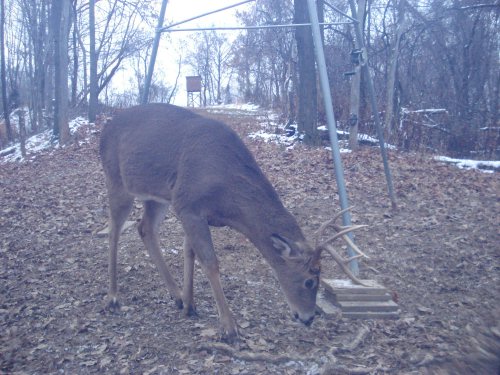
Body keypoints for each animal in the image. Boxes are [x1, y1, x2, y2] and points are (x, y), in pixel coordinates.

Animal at [98, 103, 364, 344]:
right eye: (309, 280)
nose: (308, 318)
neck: (229, 199)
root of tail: (105, 128)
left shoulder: (188, 208)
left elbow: (189, 252)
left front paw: (190, 304)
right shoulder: (189, 204)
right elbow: (210, 262)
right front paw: (229, 327)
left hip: (156, 196)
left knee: (145, 228)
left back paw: (175, 296)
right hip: (116, 180)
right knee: (113, 231)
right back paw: (112, 297)